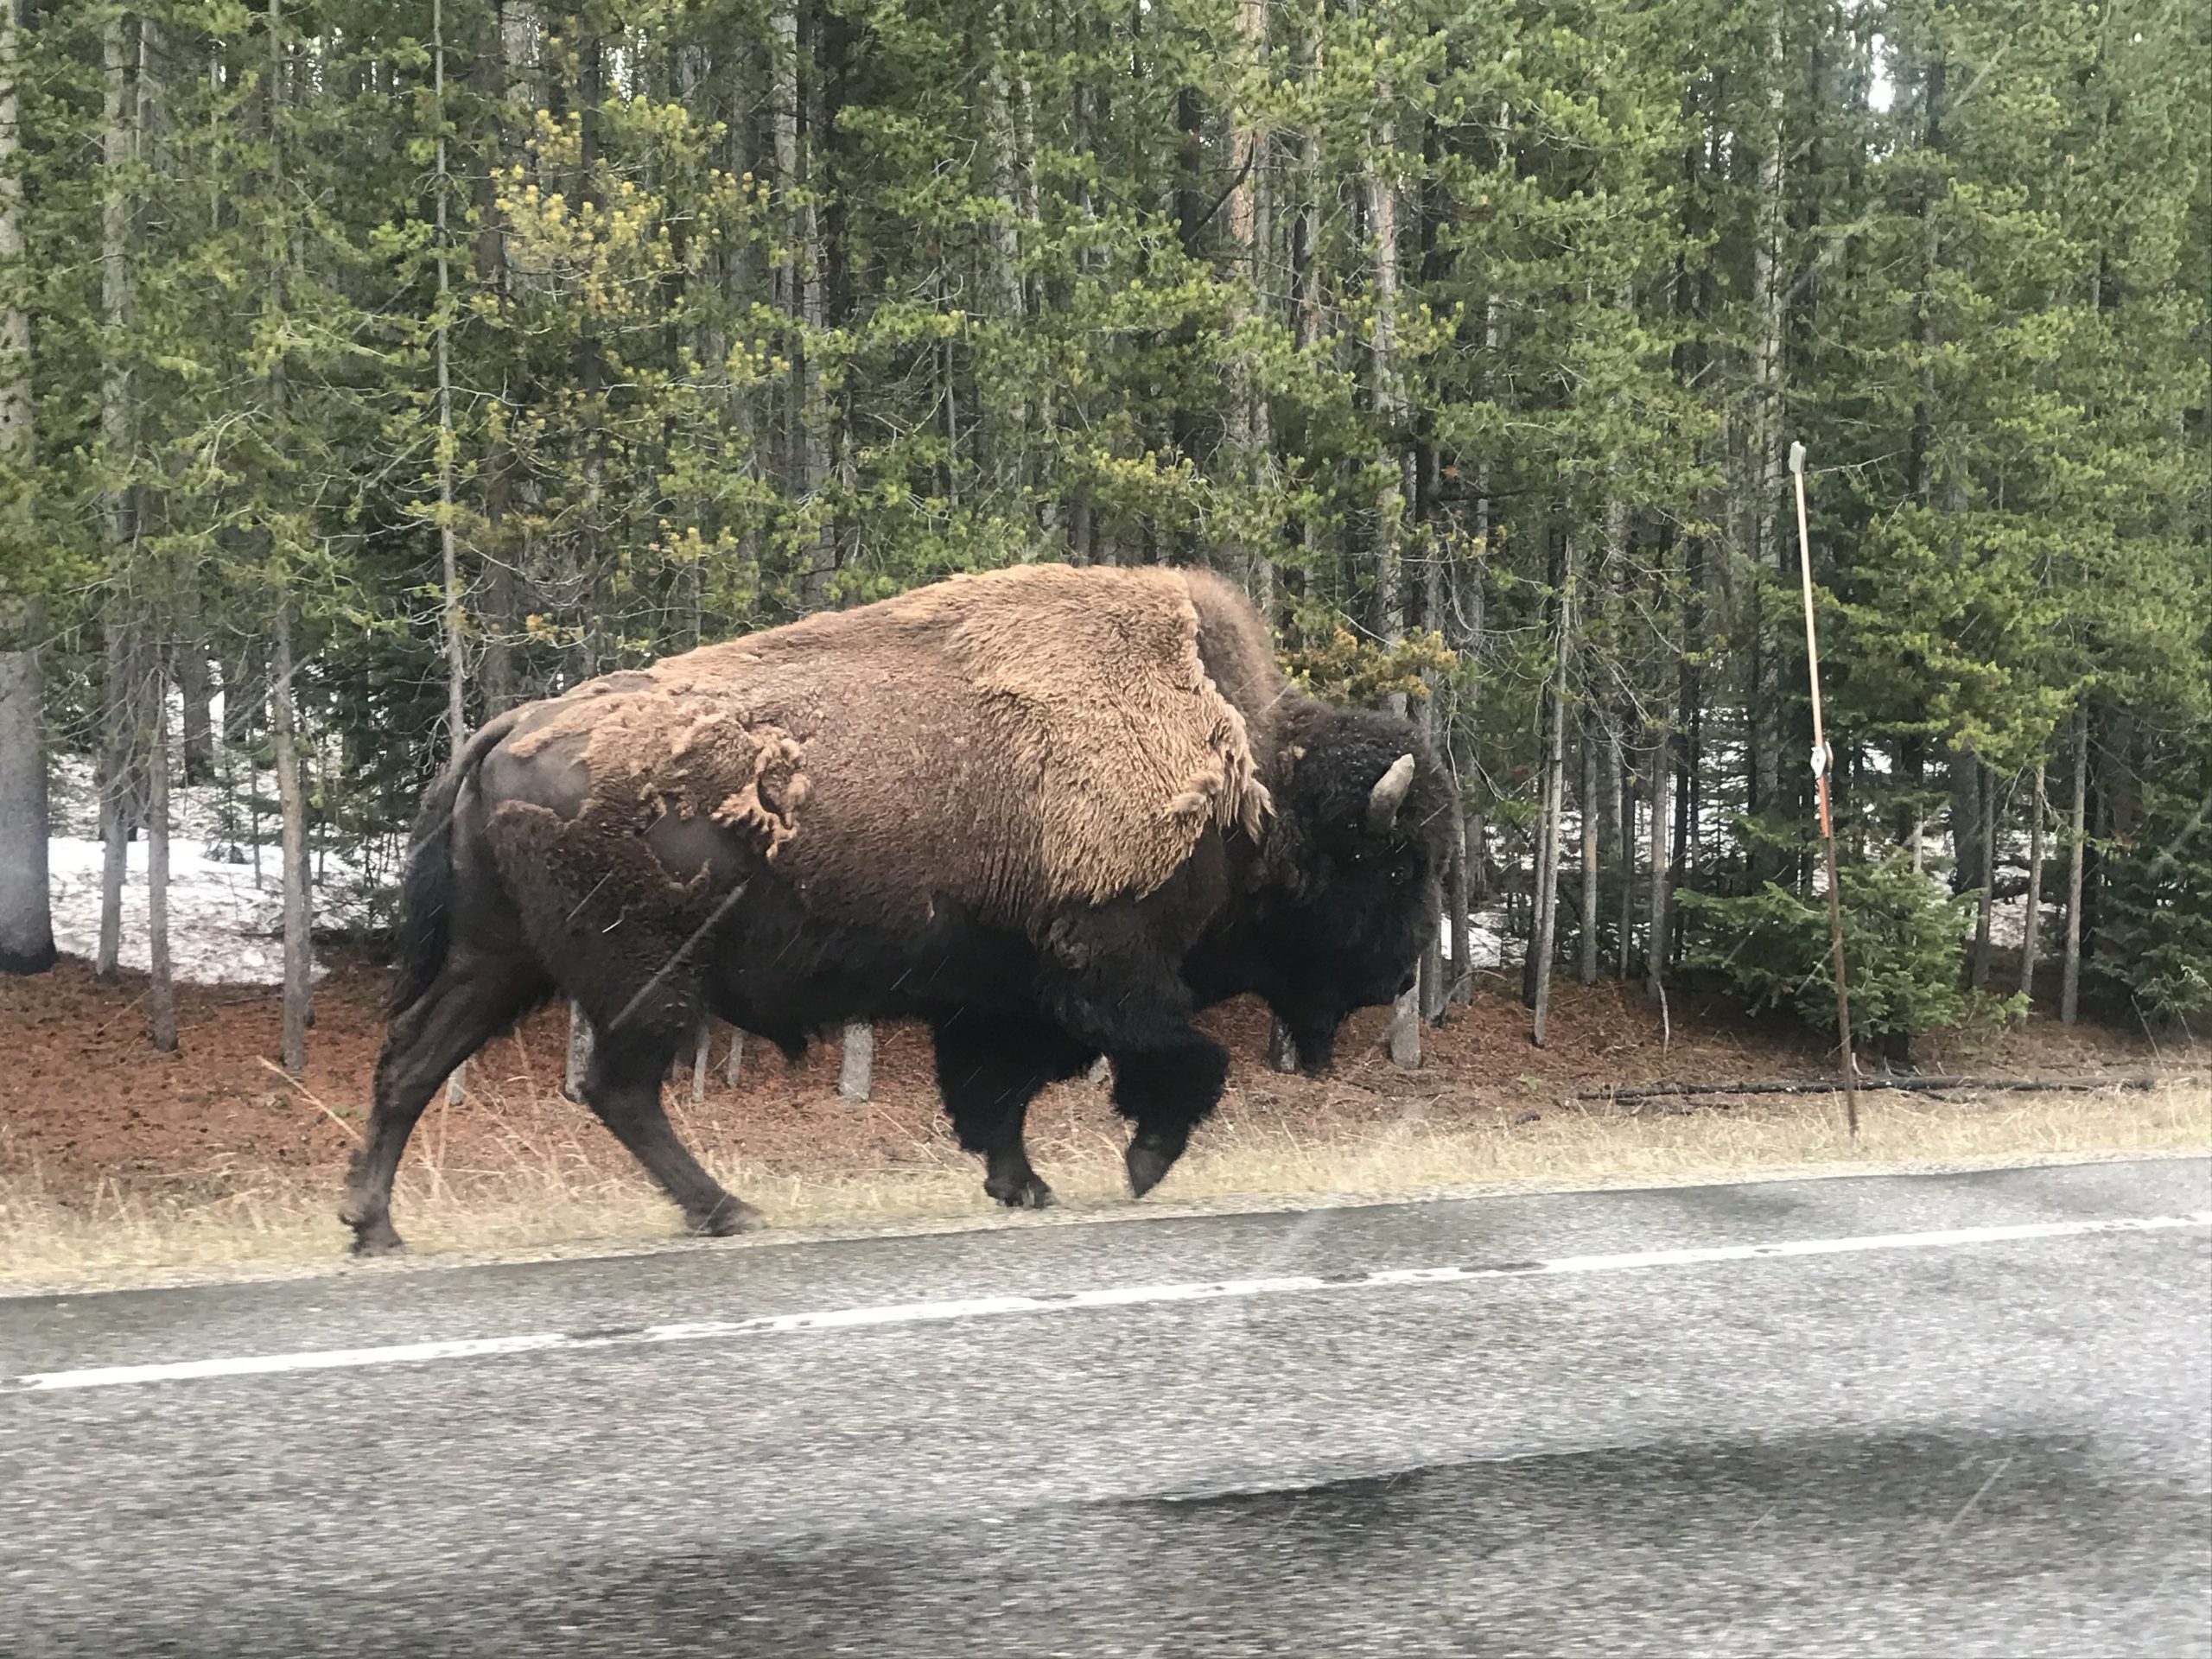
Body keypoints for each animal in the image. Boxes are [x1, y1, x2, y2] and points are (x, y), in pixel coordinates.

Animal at [342, 563, 1451, 1254]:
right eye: (1390, 868)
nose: (1401, 973)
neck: (1253, 784)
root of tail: (505, 728)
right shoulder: (1108, 970)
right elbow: (1179, 1060)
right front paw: (1138, 1167)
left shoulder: (996, 998)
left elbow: (993, 1096)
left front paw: (1022, 1186)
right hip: (646, 979)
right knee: (616, 1089)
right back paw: (728, 1211)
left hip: (501, 960)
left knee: (415, 1062)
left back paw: (374, 1225)